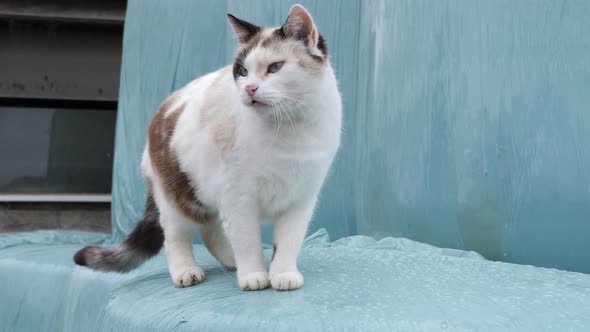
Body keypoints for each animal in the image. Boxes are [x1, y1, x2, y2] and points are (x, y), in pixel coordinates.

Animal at [74, 4, 342, 290]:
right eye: (243, 71)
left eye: (275, 67)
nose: (249, 88)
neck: (288, 130)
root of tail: (164, 107)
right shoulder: (239, 199)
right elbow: (247, 242)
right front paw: (253, 275)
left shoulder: (301, 199)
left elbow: (288, 243)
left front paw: (282, 274)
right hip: (175, 198)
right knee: (176, 238)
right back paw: (188, 271)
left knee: (210, 229)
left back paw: (231, 260)